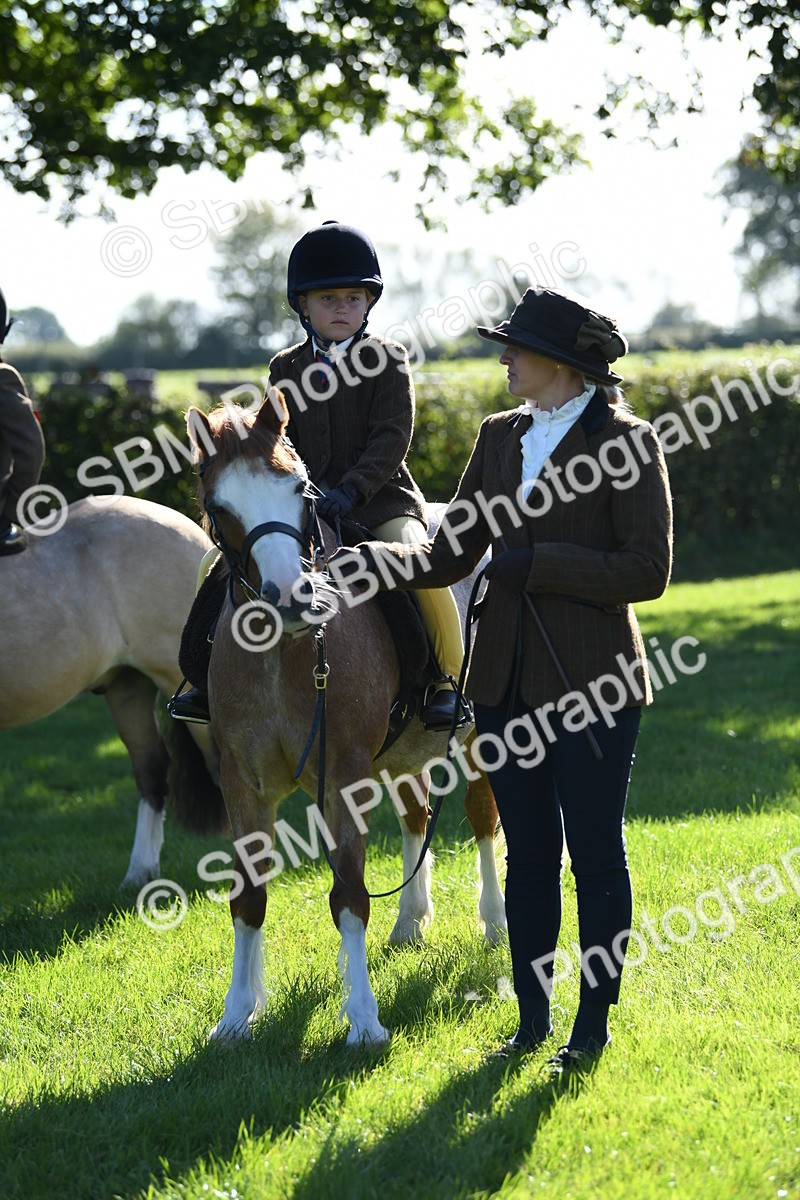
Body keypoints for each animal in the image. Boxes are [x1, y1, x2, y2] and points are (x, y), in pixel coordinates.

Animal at [181, 390, 504, 1045]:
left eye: (300, 491)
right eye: (221, 506)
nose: (291, 597)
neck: (281, 653)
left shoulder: (343, 778)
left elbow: (350, 895)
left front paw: (363, 1019)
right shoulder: (242, 785)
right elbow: (248, 899)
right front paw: (236, 1014)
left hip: (476, 737)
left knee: (483, 818)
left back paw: (494, 923)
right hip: (403, 753)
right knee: (417, 814)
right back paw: (410, 922)